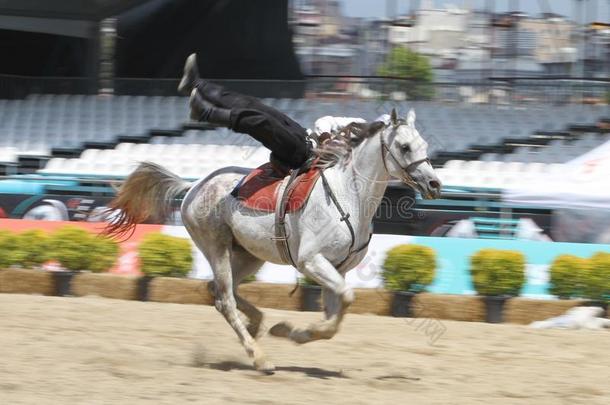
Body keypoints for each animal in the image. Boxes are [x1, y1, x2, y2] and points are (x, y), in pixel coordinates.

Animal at [107, 108, 440, 372]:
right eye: (405, 147)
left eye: (424, 145)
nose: (434, 183)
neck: (349, 195)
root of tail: (194, 185)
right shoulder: (311, 262)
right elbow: (345, 299)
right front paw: (291, 332)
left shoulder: (338, 269)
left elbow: (335, 313)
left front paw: (291, 331)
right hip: (216, 247)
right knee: (224, 299)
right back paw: (258, 357)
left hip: (248, 254)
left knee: (219, 290)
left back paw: (256, 325)